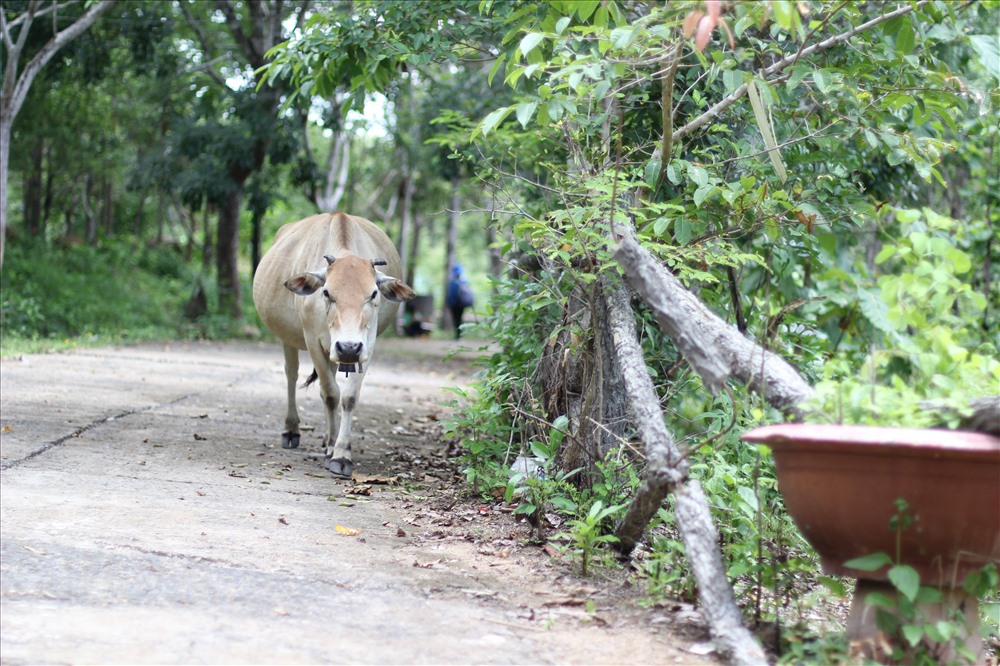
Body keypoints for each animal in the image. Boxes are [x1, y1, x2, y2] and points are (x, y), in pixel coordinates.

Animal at [258, 213, 418, 478]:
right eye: (326, 292)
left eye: (373, 294)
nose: (348, 347)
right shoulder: (313, 340)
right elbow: (331, 394)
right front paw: (333, 447)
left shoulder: (367, 345)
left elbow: (348, 397)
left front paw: (340, 452)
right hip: (289, 339)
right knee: (292, 375)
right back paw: (292, 430)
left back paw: (326, 440)